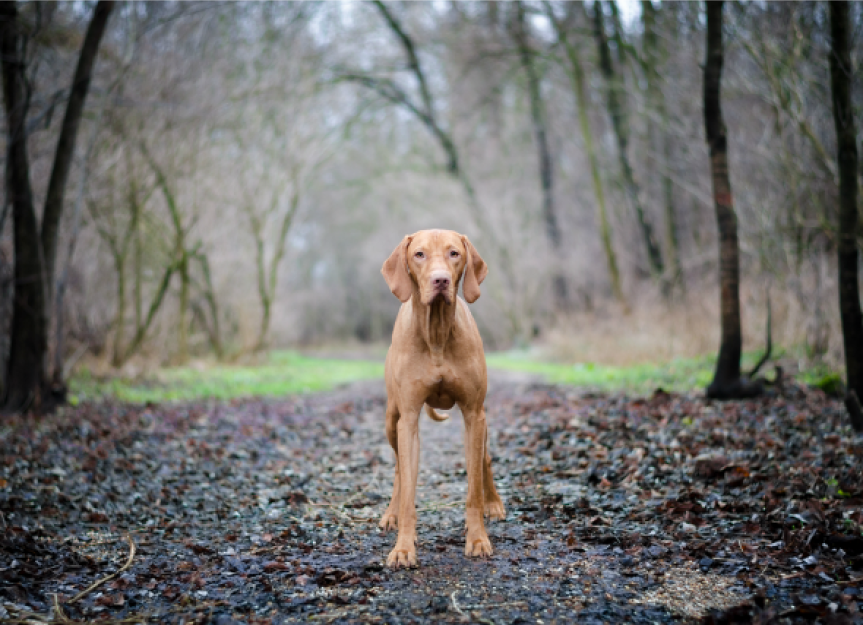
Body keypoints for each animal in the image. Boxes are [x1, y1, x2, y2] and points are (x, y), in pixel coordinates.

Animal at [380, 228, 506, 564]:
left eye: (454, 253)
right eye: (419, 254)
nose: (441, 280)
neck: (436, 333)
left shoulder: (474, 413)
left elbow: (473, 488)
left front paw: (477, 539)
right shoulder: (408, 418)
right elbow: (408, 490)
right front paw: (403, 547)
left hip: (481, 421)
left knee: (485, 459)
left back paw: (494, 503)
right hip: (392, 419)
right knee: (399, 468)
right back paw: (391, 513)